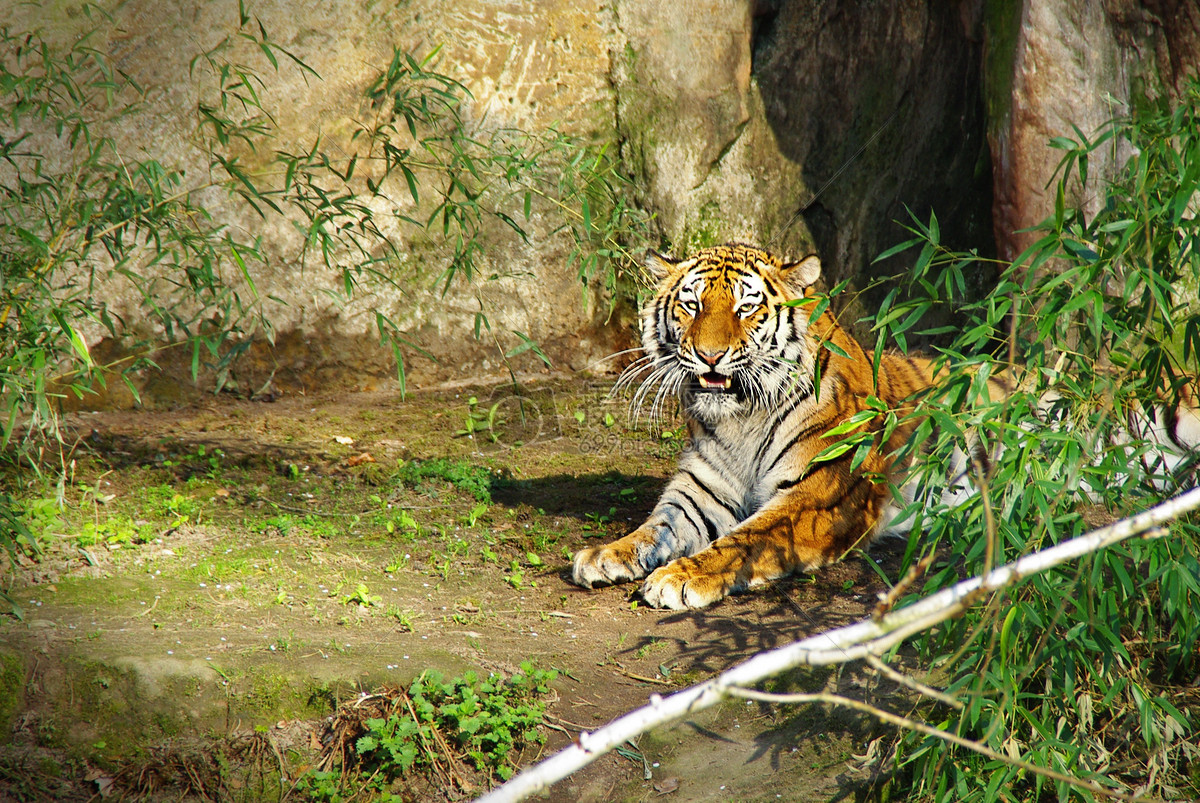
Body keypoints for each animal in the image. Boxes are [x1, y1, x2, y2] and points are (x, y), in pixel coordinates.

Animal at [568, 240, 1200, 607]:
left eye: (746, 308)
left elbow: (743, 541)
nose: (710, 356)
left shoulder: (817, 498)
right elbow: (657, 527)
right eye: (692, 305)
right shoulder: (702, 489)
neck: (740, 417)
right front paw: (607, 554)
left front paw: (678, 578)